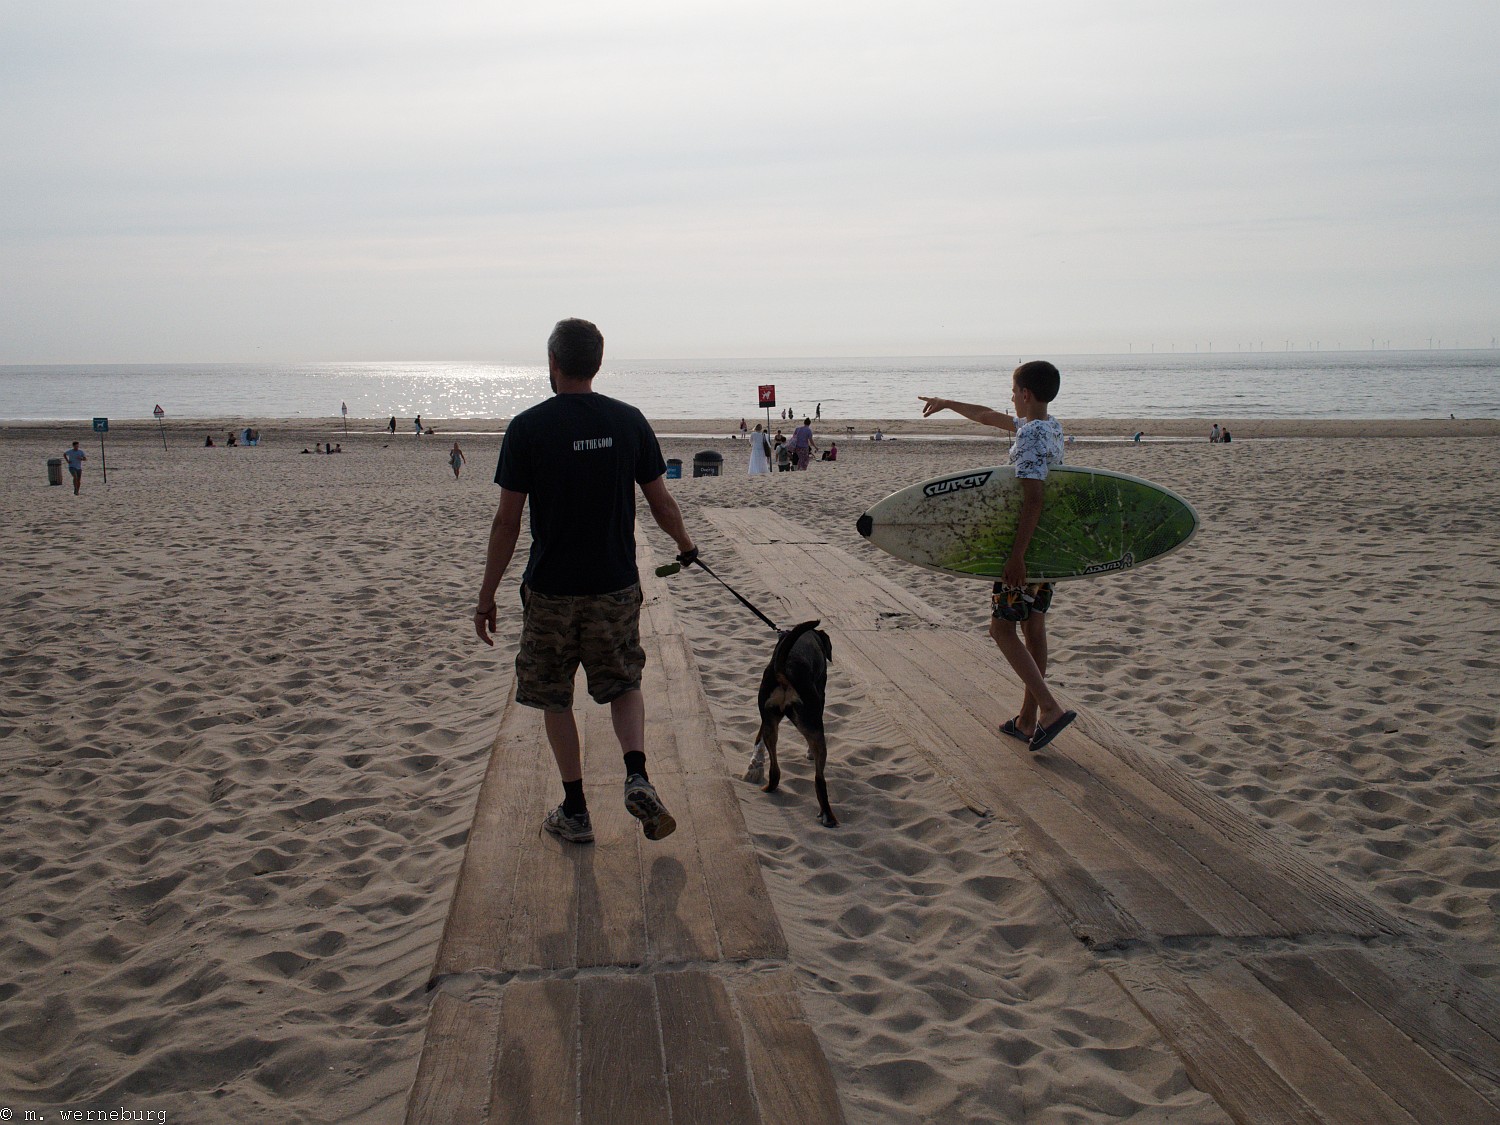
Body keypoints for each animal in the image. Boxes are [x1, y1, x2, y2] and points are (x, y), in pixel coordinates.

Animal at [744, 627, 840, 828]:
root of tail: (784, 671)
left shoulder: (766, 719)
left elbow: (758, 739)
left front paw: (755, 763)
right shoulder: (820, 696)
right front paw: (809, 752)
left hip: (770, 723)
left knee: (775, 771)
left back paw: (768, 785)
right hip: (815, 726)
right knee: (819, 779)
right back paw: (828, 815)